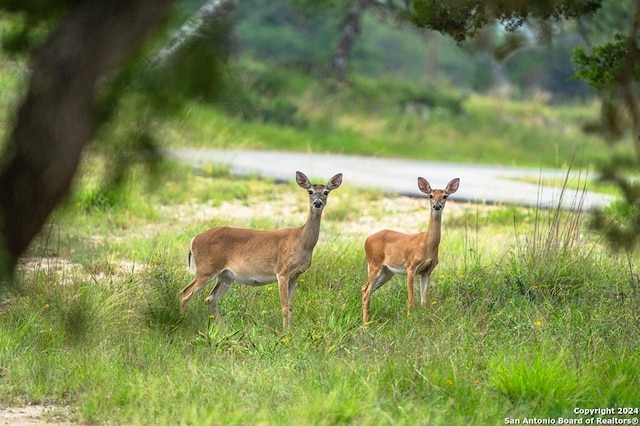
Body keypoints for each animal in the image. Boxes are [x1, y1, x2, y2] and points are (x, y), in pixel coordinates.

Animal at [180, 171, 342, 330]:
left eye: (326, 192)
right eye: (310, 191)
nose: (317, 203)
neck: (302, 242)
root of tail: (193, 240)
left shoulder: (295, 275)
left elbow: (290, 306)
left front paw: (290, 331)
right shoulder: (282, 271)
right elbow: (284, 306)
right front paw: (285, 332)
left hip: (225, 275)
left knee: (210, 298)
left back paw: (221, 327)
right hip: (207, 269)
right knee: (185, 293)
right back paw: (183, 321)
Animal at [360, 176, 460, 322]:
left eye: (445, 196)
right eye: (430, 195)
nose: (436, 206)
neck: (427, 245)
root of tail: (367, 239)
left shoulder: (427, 271)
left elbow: (424, 301)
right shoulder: (411, 266)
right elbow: (411, 300)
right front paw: (409, 318)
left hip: (387, 272)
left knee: (364, 288)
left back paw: (368, 319)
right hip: (375, 264)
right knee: (366, 291)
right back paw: (366, 322)